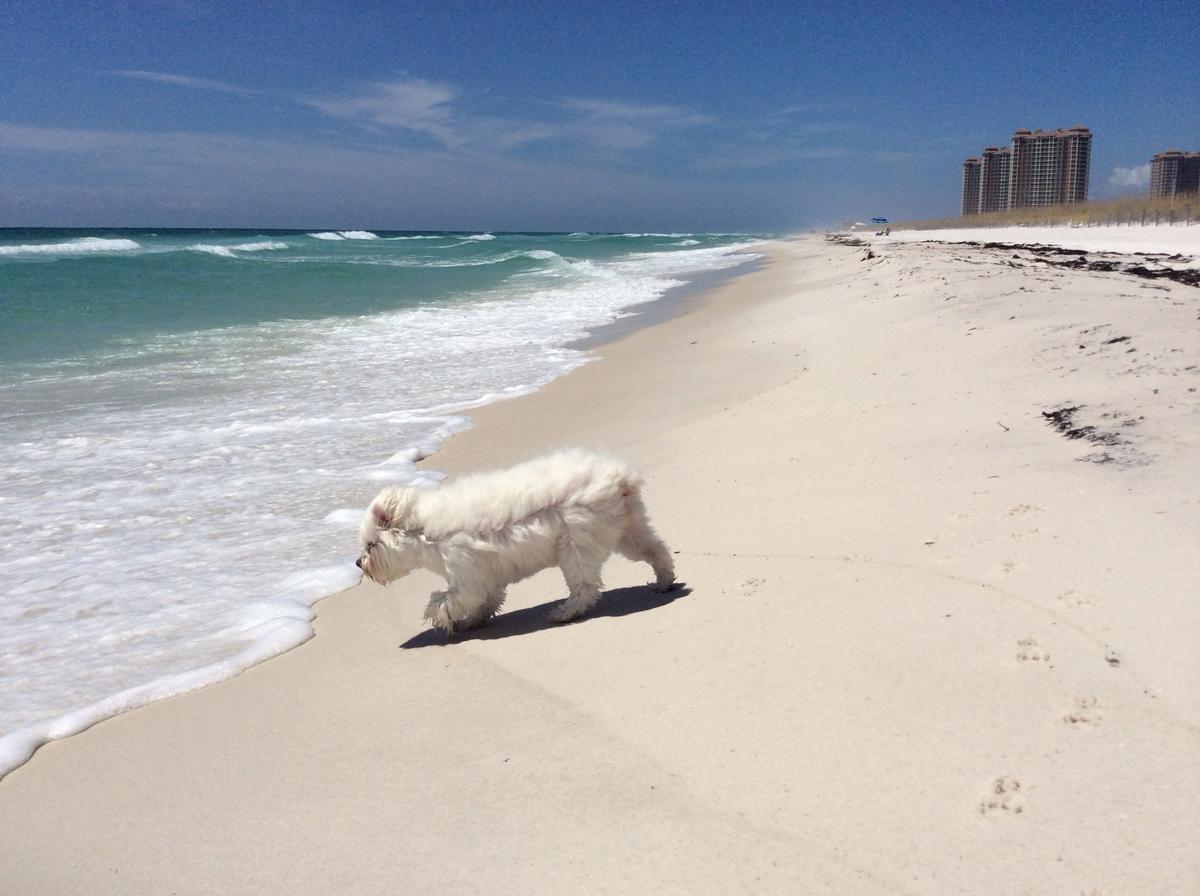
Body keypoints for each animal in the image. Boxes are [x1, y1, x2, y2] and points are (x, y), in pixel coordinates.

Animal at [355, 450, 676, 633]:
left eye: (370, 546)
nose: (358, 563)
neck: (423, 530)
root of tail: (621, 478)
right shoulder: (487, 577)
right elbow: (486, 601)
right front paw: (472, 622)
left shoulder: (466, 577)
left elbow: (445, 600)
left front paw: (444, 620)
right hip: (628, 531)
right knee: (657, 550)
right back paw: (664, 582)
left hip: (576, 548)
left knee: (585, 588)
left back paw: (564, 613)